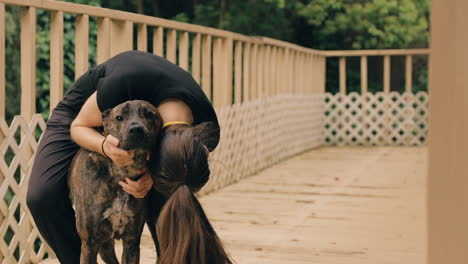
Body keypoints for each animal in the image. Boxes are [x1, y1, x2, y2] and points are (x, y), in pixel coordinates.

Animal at [67, 100, 163, 262]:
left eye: (149, 114)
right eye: (119, 118)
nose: (136, 129)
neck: (121, 173)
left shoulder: (131, 242)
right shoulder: (89, 244)